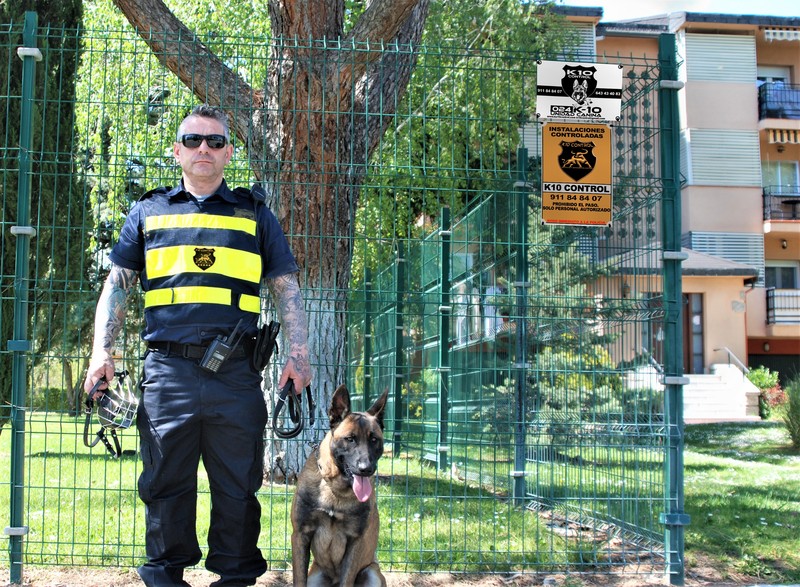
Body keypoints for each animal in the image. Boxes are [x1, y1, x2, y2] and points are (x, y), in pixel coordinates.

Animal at [291, 384, 389, 587]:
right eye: (350, 439)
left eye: (374, 439)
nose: (366, 469)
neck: (336, 489)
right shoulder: (300, 535)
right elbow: (299, 579)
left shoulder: (355, 542)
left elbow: (346, 580)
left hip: (372, 573)